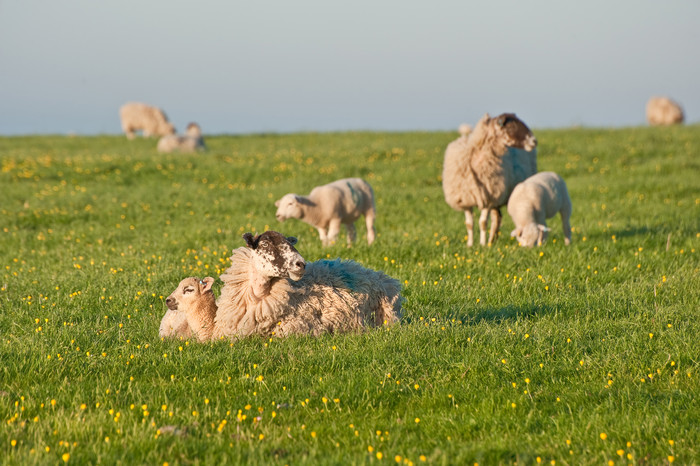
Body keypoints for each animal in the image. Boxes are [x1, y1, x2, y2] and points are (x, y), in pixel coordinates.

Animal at [440, 112, 540, 248]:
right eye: (511, 126)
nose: (534, 141)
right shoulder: (466, 200)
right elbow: (469, 224)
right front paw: (470, 244)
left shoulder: (488, 199)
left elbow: (482, 223)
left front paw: (482, 244)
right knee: (497, 217)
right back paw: (492, 241)